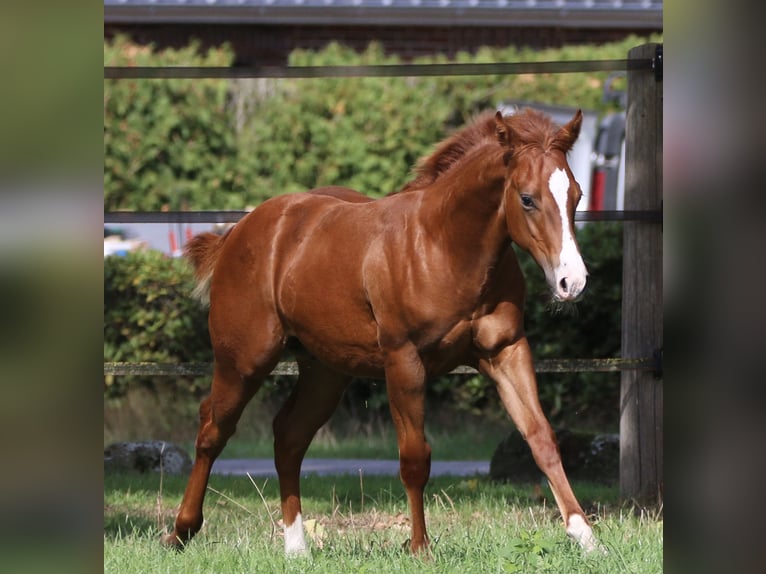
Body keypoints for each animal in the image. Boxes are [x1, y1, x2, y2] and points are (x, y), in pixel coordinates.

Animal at [160, 107, 601, 555]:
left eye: (577, 195)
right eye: (527, 198)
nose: (572, 282)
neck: (445, 247)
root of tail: (238, 231)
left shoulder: (507, 351)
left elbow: (541, 438)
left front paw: (585, 535)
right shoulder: (403, 360)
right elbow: (414, 458)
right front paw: (420, 547)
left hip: (325, 372)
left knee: (288, 436)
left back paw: (296, 547)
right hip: (243, 361)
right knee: (213, 429)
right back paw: (181, 531)